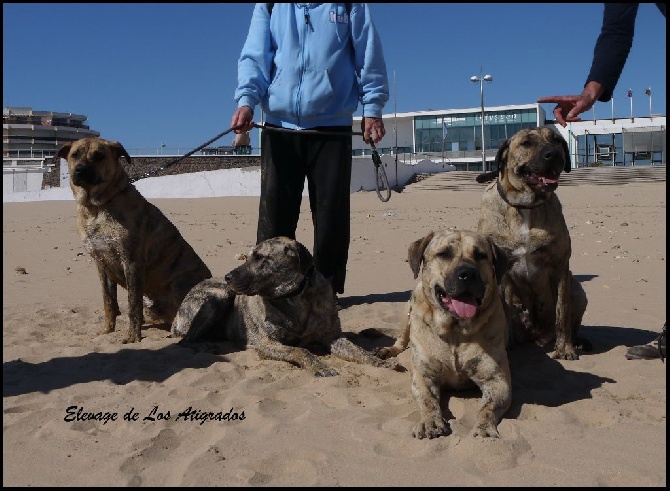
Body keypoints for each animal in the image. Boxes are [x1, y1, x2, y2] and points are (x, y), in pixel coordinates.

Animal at [60, 136, 214, 344]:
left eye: (99, 156)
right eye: (75, 154)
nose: (80, 170)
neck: (97, 207)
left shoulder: (131, 262)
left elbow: (133, 306)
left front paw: (132, 337)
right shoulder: (102, 263)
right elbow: (109, 301)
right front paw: (107, 330)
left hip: (180, 284)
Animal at [476, 126, 592, 358]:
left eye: (556, 140)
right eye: (526, 143)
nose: (553, 154)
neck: (525, 207)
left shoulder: (560, 266)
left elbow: (562, 311)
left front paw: (564, 348)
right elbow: (503, 310)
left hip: (578, 290)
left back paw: (575, 342)